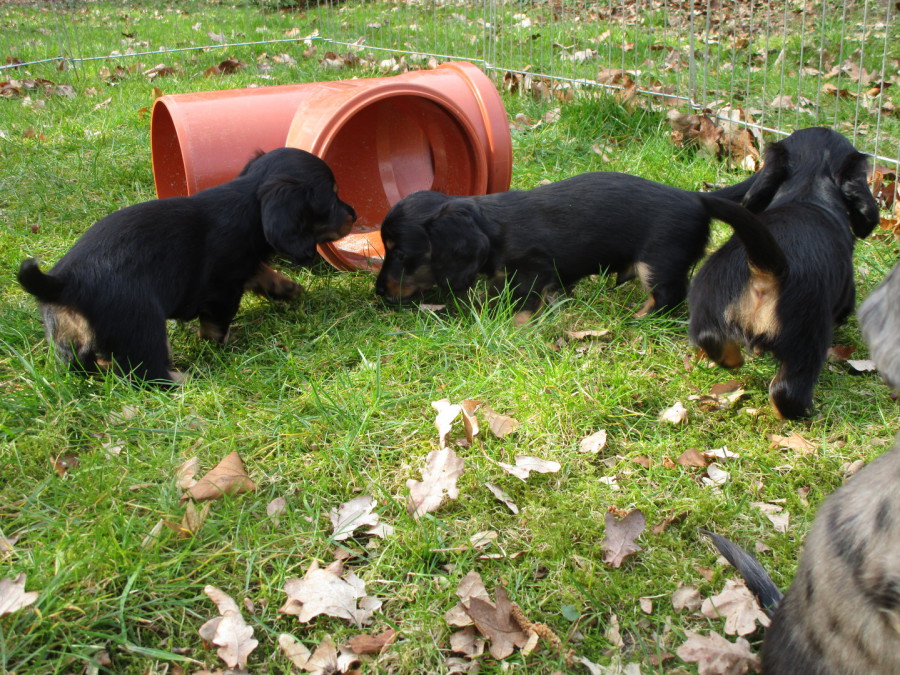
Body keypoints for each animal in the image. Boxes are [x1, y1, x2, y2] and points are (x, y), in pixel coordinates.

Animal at [18, 147, 356, 384]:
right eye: (332, 196)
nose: (353, 214)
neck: (247, 201)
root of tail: (65, 284)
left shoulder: (242, 266)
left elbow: (260, 272)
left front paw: (286, 287)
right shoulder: (222, 288)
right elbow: (216, 323)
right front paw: (220, 344)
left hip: (66, 336)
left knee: (80, 366)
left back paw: (104, 368)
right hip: (141, 324)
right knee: (147, 373)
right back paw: (185, 380)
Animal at [374, 173, 757, 324]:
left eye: (401, 255)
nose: (378, 292)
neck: (492, 227)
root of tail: (695, 198)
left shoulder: (534, 269)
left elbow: (524, 303)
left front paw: (516, 324)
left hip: (658, 262)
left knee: (667, 298)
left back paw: (636, 320)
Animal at [688, 127, 880, 419]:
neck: (809, 188)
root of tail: (767, 265)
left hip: (708, 295)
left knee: (710, 338)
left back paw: (733, 359)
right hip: (808, 334)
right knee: (786, 390)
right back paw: (807, 414)